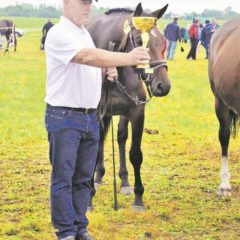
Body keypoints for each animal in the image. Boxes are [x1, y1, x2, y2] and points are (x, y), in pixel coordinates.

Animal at [88, 2, 171, 210]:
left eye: (163, 41)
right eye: (139, 41)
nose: (163, 86)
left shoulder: (136, 113)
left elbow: (135, 153)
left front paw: (138, 197)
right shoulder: (96, 114)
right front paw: (89, 195)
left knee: (120, 137)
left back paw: (123, 182)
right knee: (101, 141)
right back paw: (97, 178)